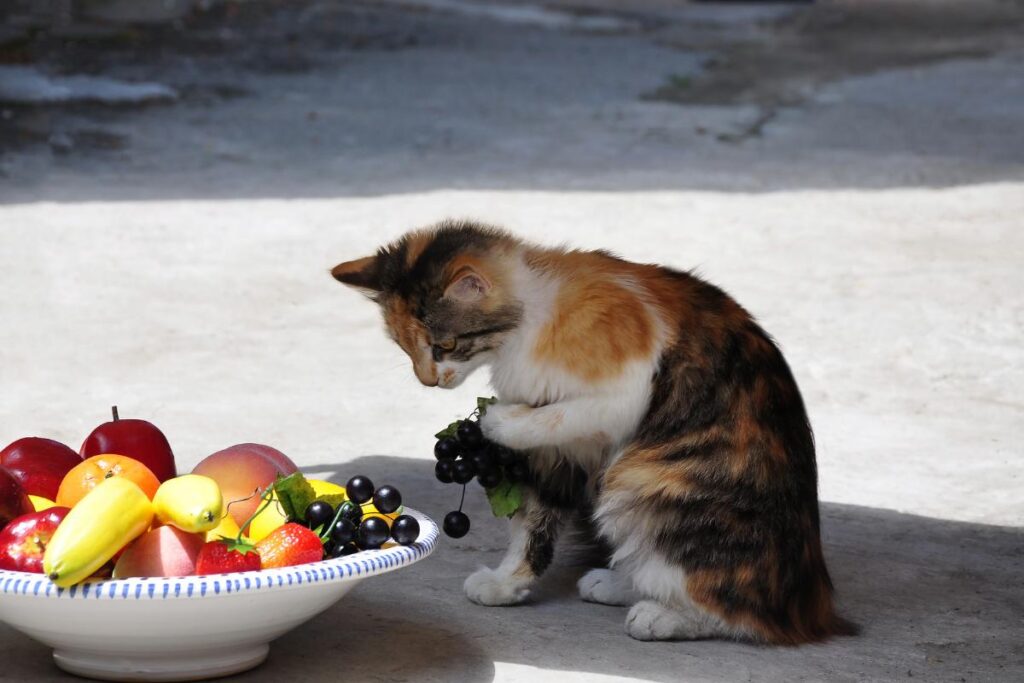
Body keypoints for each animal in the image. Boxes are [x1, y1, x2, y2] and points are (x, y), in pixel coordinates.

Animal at [331, 222, 851, 643]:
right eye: (405, 347)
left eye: (446, 345)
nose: (427, 380)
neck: (530, 319)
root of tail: (813, 608)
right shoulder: (557, 453)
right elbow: (532, 524)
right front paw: (507, 582)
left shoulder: (626, 390)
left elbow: (558, 415)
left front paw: (498, 421)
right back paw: (619, 582)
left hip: (641, 483)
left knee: (744, 615)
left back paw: (663, 616)